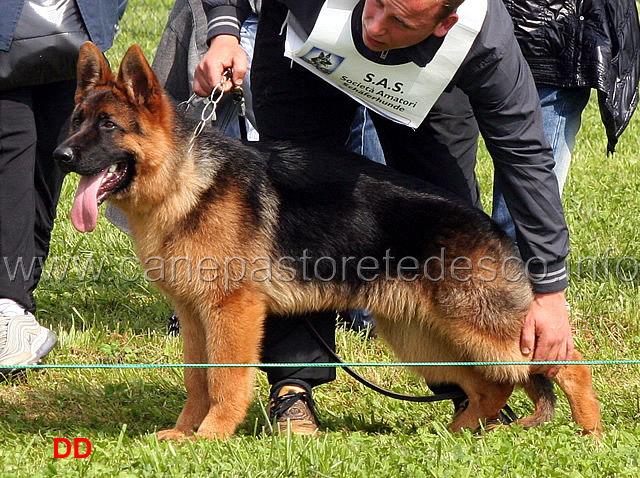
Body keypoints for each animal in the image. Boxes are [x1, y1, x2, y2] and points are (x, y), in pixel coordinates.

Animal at [53, 44, 600, 440]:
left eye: (108, 126)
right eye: (76, 121)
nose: (59, 156)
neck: (186, 180)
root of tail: (491, 226)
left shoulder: (232, 312)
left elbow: (225, 381)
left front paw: (211, 437)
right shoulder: (193, 316)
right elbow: (197, 380)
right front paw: (184, 434)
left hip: (479, 328)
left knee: (565, 364)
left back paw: (590, 433)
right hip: (421, 336)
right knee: (491, 386)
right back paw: (457, 432)